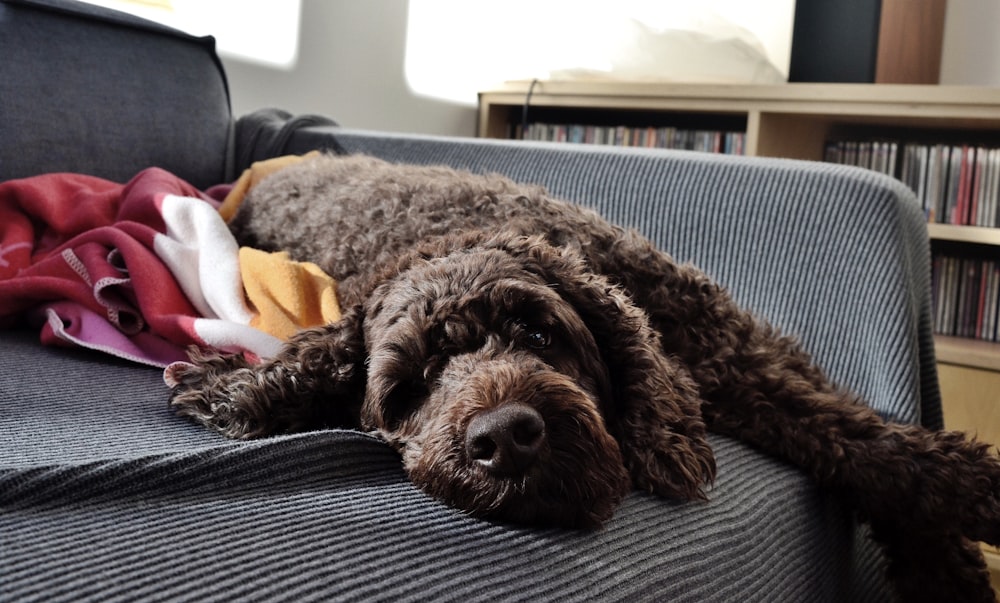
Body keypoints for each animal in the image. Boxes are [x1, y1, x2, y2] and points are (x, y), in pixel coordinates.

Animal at [168, 153, 1000, 600]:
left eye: (538, 330)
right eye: (410, 386)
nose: (507, 437)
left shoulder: (748, 358)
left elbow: (869, 447)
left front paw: (959, 525)